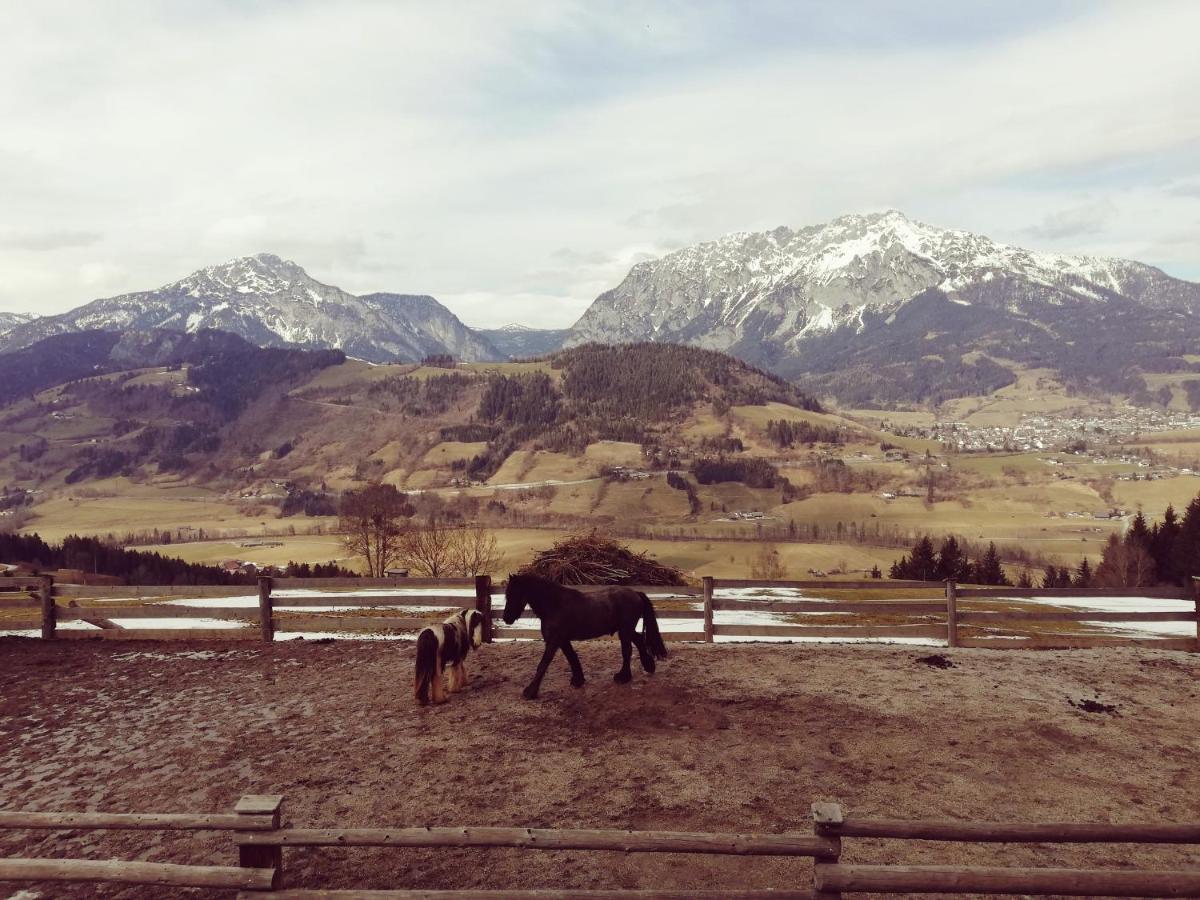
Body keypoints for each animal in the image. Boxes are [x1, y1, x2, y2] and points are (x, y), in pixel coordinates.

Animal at [501, 573, 672, 700]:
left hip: (624, 630)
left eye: (514, 594)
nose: (506, 618)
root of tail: (635, 593)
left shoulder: (554, 640)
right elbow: (571, 657)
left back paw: (623, 677)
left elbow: (543, 664)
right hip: (626, 630)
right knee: (639, 641)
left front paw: (530, 691)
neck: (555, 604)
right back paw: (648, 666)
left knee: (627, 651)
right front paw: (578, 680)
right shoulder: (562, 640)